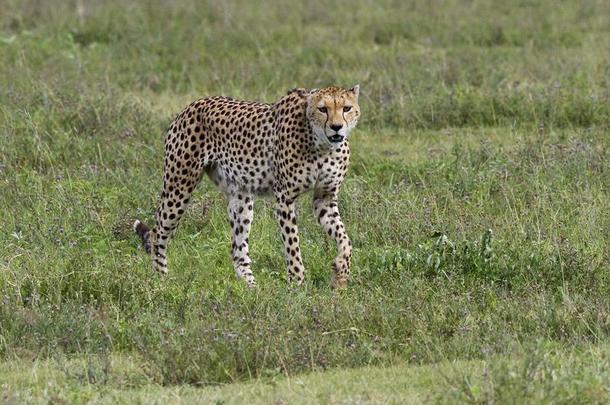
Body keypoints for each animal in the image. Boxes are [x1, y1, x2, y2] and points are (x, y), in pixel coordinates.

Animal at [133, 85, 358, 288]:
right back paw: (162, 281)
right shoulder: (284, 198)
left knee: (237, 251)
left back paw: (253, 289)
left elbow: (345, 239)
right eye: (323, 109)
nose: (336, 126)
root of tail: (193, 104)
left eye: (347, 108)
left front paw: (341, 274)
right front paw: (297, 284)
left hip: (240, 199)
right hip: (179, 186)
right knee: (157, 234)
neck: (323, 145)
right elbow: (292, 244)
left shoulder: (325, 197)